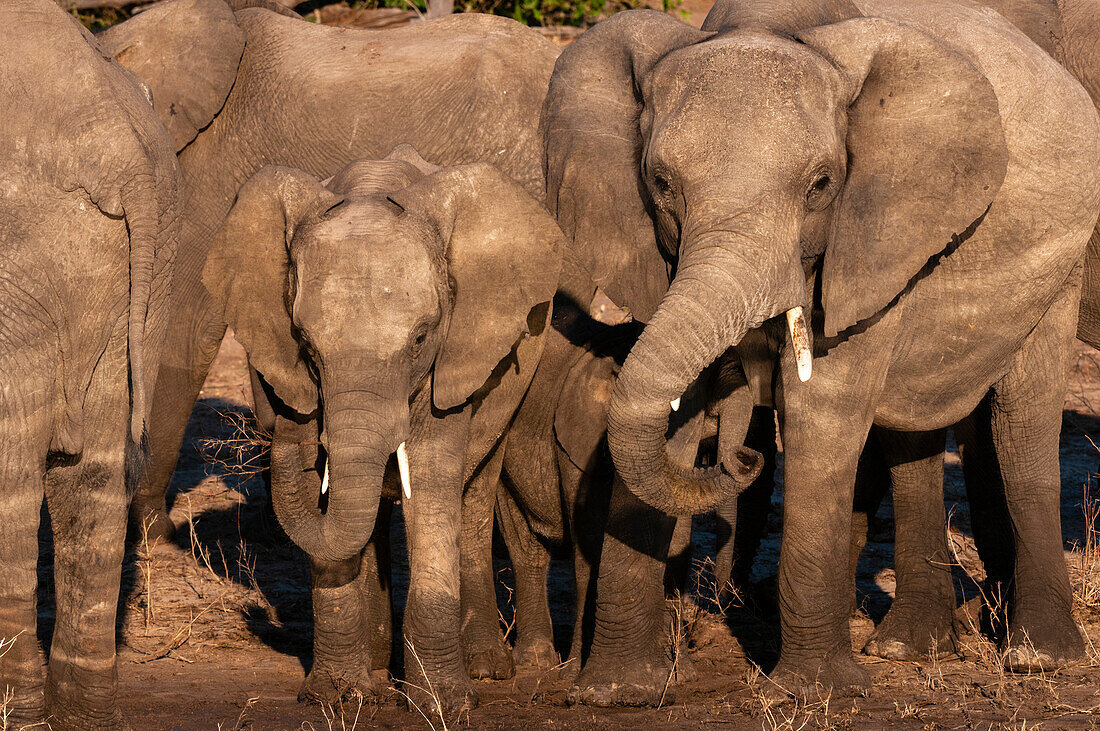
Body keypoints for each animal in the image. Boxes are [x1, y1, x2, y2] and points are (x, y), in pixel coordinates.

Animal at [201, 147, 563, 712]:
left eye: (420, 338)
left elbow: (434, 478)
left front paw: (443, 703)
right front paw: (334, 697)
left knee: (475, 493)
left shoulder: (453, 356)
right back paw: (374, 676)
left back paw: (484, 669)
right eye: (305, 343)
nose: (286, 425)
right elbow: (330, 508)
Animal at [547, 1, 1100, 707]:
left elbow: (825, 408)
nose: (744, 455)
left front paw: (815, 693)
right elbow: (669, 405)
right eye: (661, 183)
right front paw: (616, 692)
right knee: (910, 430)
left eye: (821, 185)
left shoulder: (869, 234)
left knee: (1020, 419)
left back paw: (1040, 657)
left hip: (1062, 256)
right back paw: (909, 647)